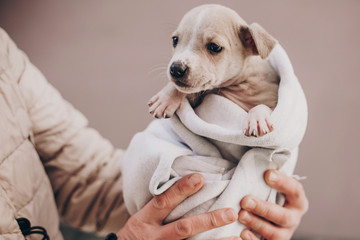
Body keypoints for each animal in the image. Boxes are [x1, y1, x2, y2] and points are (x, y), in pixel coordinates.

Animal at [148, 5, 280, 137]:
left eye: (214, 47)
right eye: (175, 40)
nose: (176, 69)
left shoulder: (273, 101)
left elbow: (263, 106)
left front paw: (256, 119)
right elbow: (181, 88)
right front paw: (165, 99)